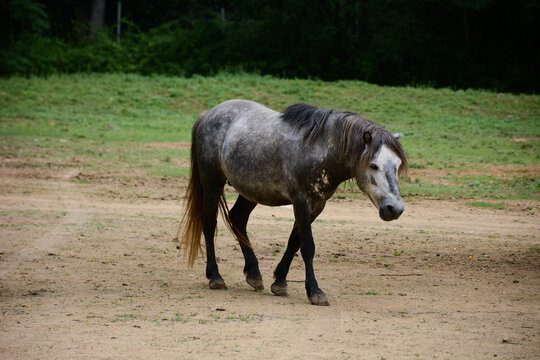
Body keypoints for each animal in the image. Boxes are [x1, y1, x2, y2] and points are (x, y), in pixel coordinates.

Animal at [175, 100, 408, 306]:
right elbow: (307, 247)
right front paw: (314, 291)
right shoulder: (301, 201)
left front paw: (279, 282)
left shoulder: (317, 205)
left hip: (252, 191)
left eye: (397, 165)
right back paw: (215, 277)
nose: (394, 209)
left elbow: (294, 241)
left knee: (237, 218)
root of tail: (207, 115)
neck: (320, 147)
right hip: (212, 182)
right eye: (374, 165)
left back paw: (254, 274)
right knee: (209, 222)